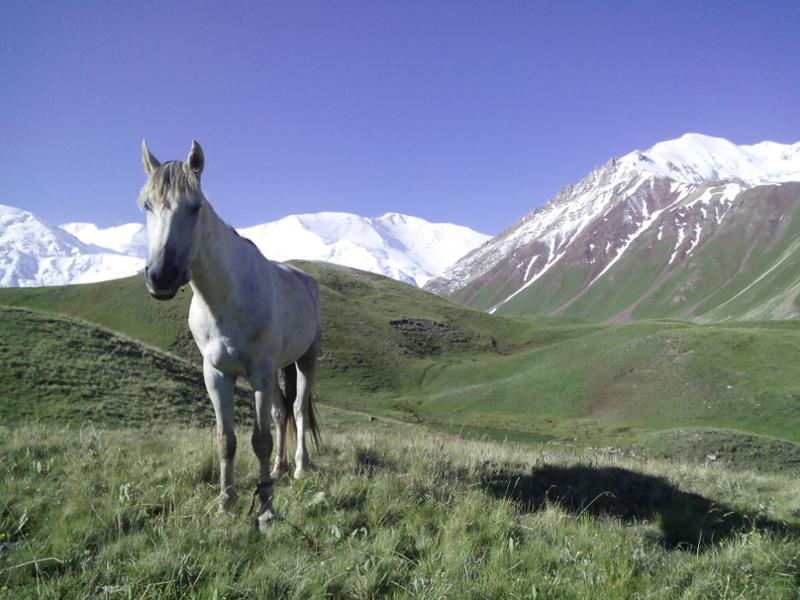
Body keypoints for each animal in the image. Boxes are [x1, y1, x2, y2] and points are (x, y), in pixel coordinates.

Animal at [139, 139, 320, 528]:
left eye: (194, 207)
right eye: (146, 205)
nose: (161, 276)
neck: (226, 296)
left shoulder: (260, 372)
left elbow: (260, 440)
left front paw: (265, 507)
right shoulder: (217, 373)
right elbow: (227, 440)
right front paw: (225, 502)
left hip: (305, 360)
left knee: (297, 410)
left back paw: (299, 468)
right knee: (281, 413)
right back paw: (280, 469)